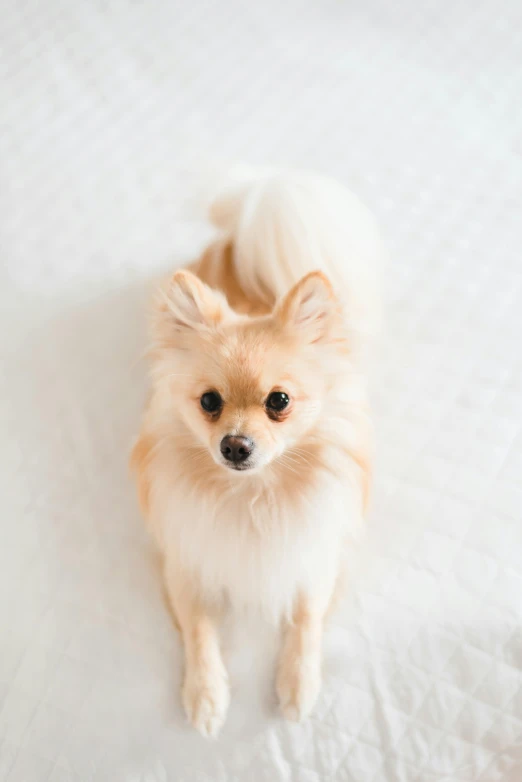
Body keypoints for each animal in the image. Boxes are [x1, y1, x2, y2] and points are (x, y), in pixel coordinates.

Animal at [130, 168, 382, 740]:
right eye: (209, 403)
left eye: (279, 402)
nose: (236, 445)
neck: (253, 497)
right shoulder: (187, 563)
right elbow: (200, 630)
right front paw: (206, 695)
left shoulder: (315, 557)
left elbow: (306, 618)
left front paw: (297, 684)